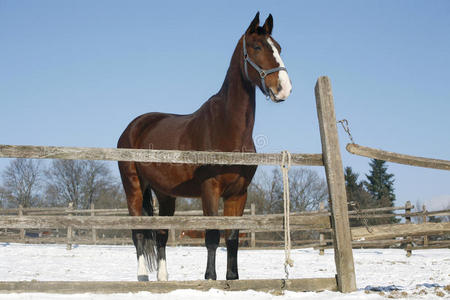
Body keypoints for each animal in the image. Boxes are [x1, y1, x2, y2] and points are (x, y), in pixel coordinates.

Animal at [117, 12, 292, 282]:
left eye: (279, 47)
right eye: (257, 47)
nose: (283, 88)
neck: (227, 128)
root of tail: (133, 126)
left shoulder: (238, 193)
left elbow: (232, 237)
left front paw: (232, 277)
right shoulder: (210, 189)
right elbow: (211, 235)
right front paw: (210, 277)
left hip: (164, 194)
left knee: (161, 233)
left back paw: (163, 278)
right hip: (133, 187)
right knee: (138, 233)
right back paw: (143, 276)